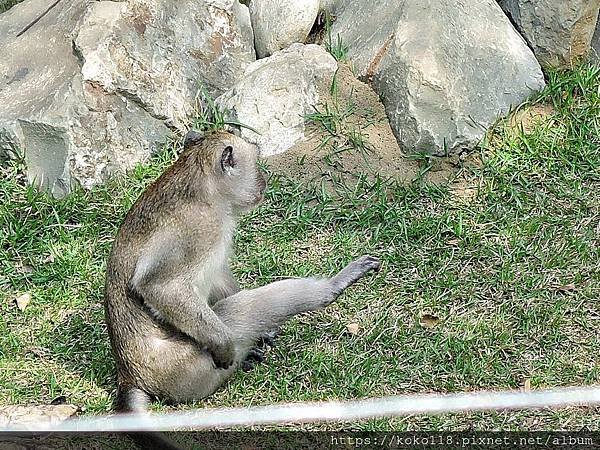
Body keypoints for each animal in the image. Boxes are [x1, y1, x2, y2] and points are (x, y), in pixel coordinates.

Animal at [103, 129, 380, 446]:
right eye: (256, 163)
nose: (264, 180)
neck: (200, 185)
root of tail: (130, 375)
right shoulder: (199, 229)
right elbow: (157, 286)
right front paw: (225, 344)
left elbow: (218, 277)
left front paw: (266, 335)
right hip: (184, 368)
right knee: (241, 310)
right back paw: (329, 289)